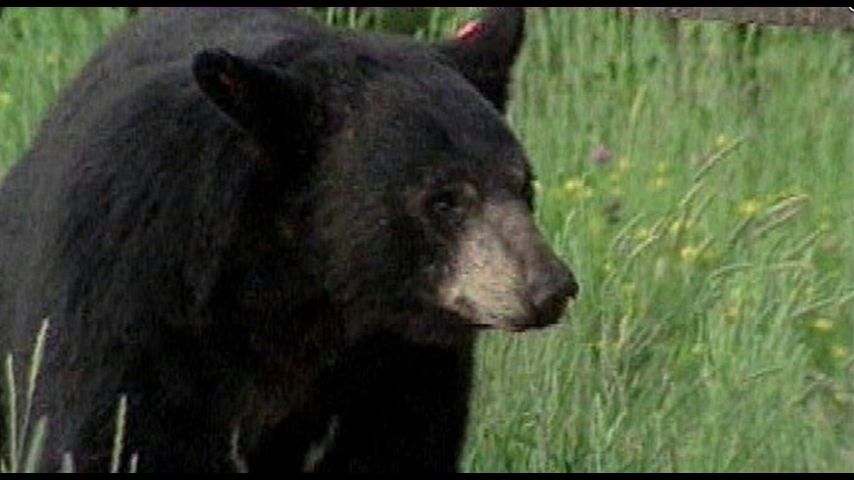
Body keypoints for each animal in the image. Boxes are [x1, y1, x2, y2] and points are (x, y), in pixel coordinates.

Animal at [0, 7, 578, 473]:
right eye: (444, 199)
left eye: (523, 183)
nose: (551, 285)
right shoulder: (129, 288)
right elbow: (99, 433)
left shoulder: (402, 364)